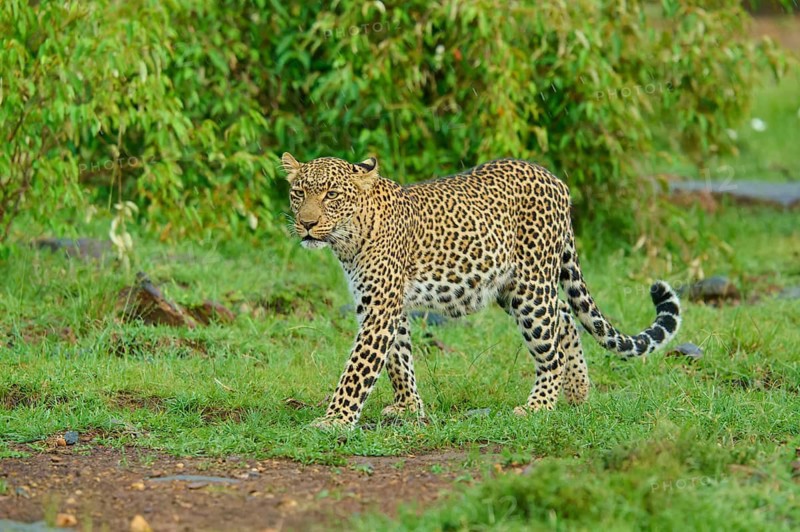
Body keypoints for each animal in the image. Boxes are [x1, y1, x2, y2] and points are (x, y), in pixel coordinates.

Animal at [282, 153, 682, 428]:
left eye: (331, 194)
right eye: (298, 193)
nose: (307, 224)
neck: (347, 238)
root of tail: (556, 180)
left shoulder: (381, 306)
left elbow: (358, 368)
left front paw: (335, 421)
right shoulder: (380, 303)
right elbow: (399, 358)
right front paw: (408, 407)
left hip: (530, 286)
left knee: (551, 346)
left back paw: (539, 405)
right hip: (513, 286)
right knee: (565, 318)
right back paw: (578, 394)